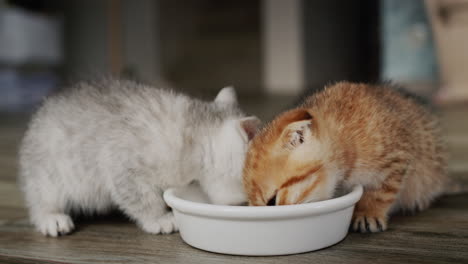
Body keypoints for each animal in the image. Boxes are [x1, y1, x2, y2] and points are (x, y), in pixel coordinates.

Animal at [19, 79, 260, 236]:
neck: (194, 136)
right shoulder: (122, 166)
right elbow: (144, 199)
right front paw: (159, 219)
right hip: (48, 175)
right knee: (41, 200)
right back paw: (51, 217)